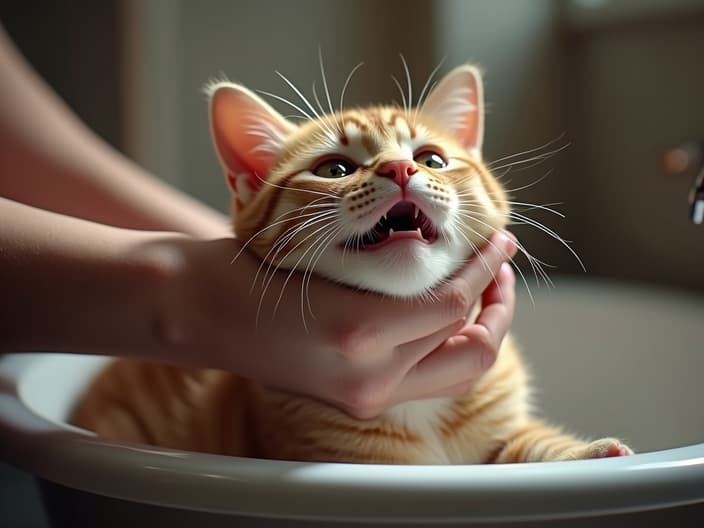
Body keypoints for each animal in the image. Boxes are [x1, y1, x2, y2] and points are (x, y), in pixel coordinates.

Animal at [71, 64, 632, 464]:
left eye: (431, 160)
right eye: (334, 169)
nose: (400, 168)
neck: (418, 402)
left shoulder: (505, 433)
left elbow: (527, 445)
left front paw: (587, 454)